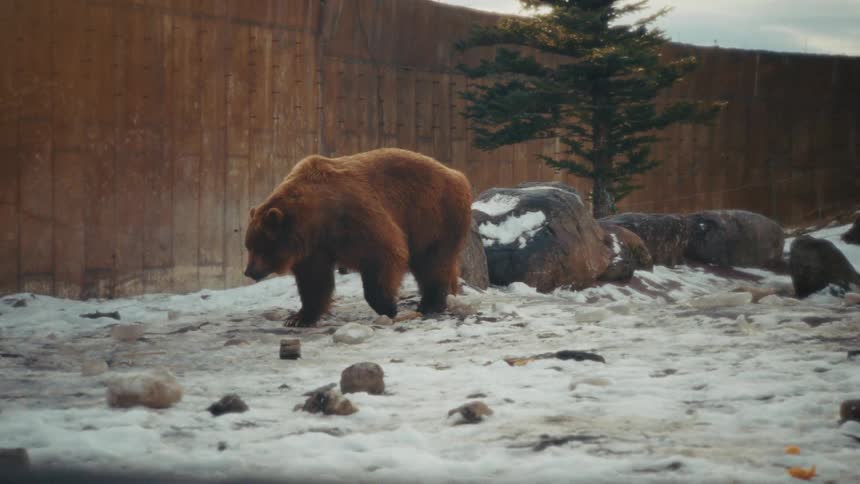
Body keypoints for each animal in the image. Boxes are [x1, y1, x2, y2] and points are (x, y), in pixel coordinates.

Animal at [243, 148, 473, 326]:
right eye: (249, 246)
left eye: (261, 247)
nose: (249, 271)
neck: (316, 218)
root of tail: (457, 174)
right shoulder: (316, 246)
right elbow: (313, 279)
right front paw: (299, 317)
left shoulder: (353, 217)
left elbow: (384, 252)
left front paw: (387, 306)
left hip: (432, 214)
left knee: (432, 261)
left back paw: (430, 303)